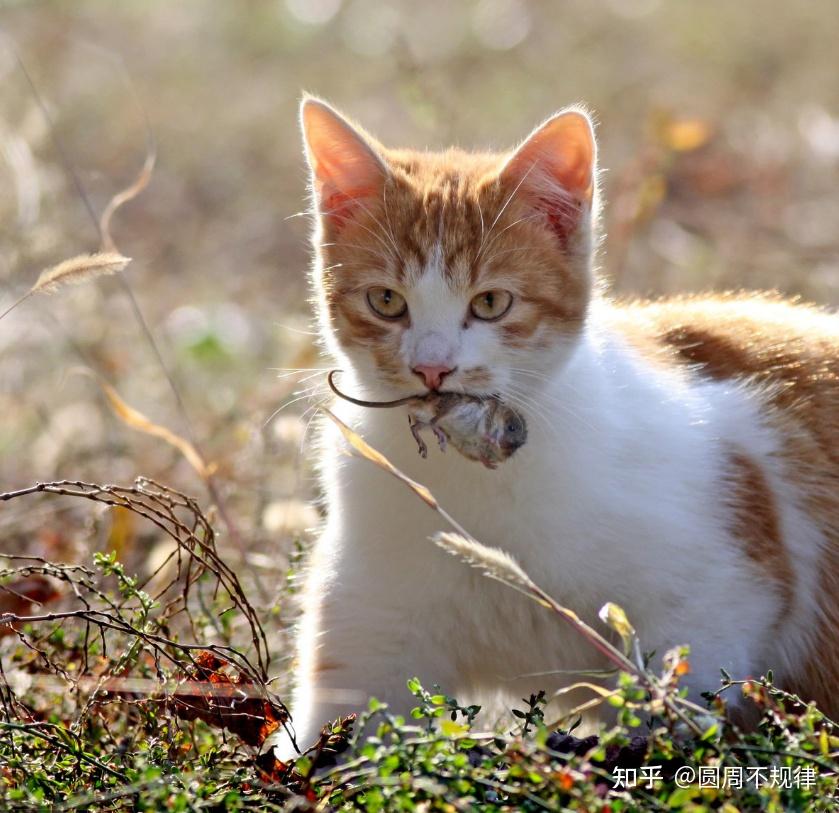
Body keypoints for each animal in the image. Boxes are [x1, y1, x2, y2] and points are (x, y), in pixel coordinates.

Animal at [278, 96, 839, 756]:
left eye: (491, 302)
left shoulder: (719, 592)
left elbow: (679, 703)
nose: (432, 368)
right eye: (386, 301)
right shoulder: (371, 619)